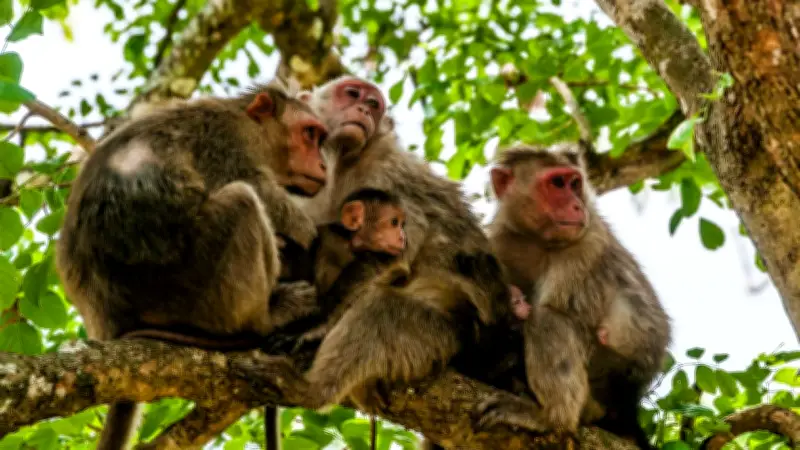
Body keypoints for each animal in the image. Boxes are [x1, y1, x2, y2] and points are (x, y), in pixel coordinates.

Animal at [55, 81, 329, 450]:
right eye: (310, 134)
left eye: (319, 137)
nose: (323, 164)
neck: (252, 127)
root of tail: (109, 322)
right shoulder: (228, 143)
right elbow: (262, 192)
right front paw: (307, 230)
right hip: (190, 287)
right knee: (242, 200)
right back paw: (270, 315)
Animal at [470, 143, 671, 450]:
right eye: (557, 183)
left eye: (575, 184)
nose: (577, 205)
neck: (535, 240)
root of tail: (628, 405)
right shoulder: (498, 241)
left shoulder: (584, 246)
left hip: (603, 384)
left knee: (548, 318)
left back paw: (550, 418)